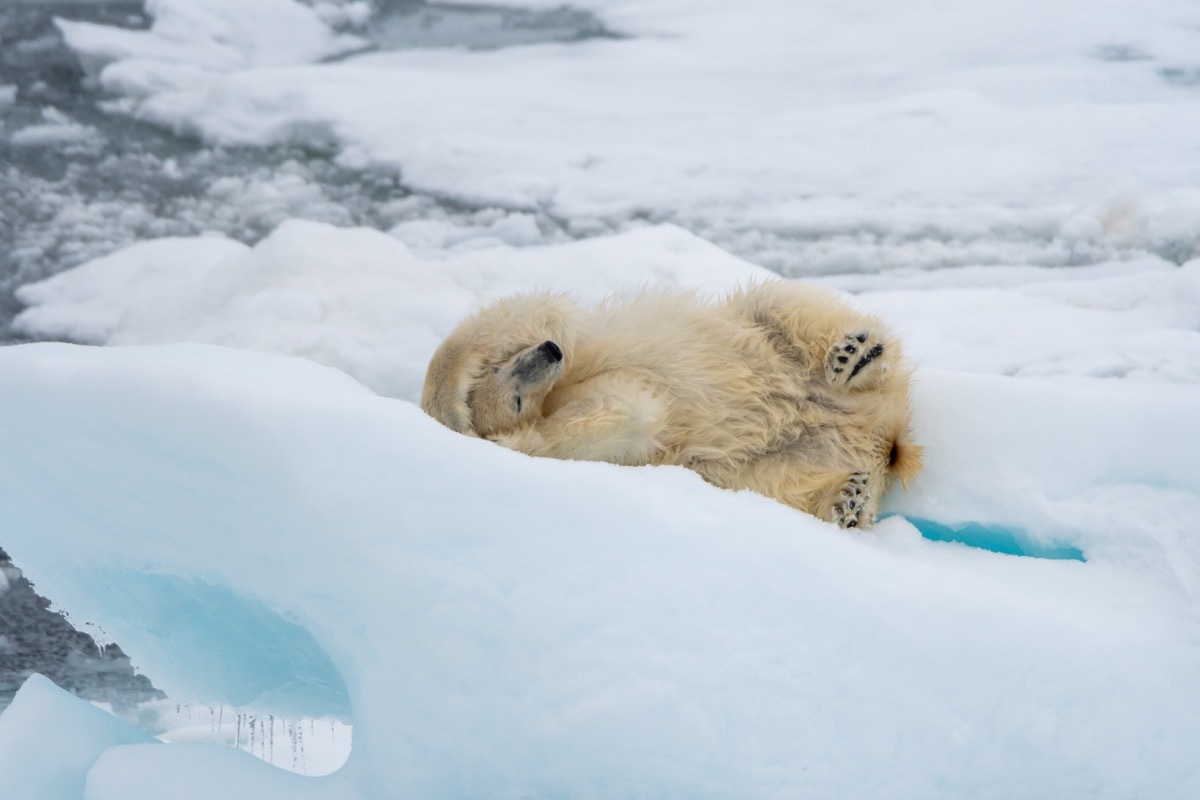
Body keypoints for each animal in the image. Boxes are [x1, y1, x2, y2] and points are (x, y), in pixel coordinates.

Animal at [420, 283, 916, 532]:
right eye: (517, 396)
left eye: (504, 364)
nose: (548, 352)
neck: (557, 390)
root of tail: (881, 438)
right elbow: (623, 415)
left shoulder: (577, 345)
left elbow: (524, 314)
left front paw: (453, 402)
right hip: (757, 466)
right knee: (779, 482)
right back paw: (847, 498)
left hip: (764, 337)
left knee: (783, 303)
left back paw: (856, 357)